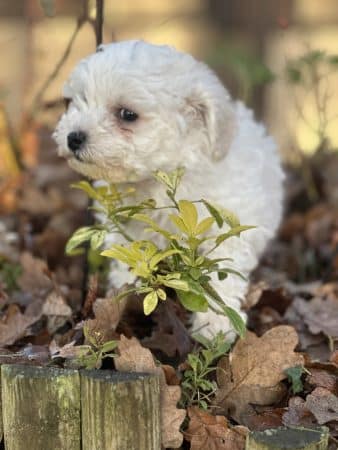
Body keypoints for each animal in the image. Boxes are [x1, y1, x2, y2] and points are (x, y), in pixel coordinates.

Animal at [53, 40, 286, 338]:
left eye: (127, 115)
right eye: (77, 100)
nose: (73, 137)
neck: (162, 176)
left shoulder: (228, 225)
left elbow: (221, 271)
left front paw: (216, 324)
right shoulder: (128, 226)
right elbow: (129, 257)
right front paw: (125, 294)